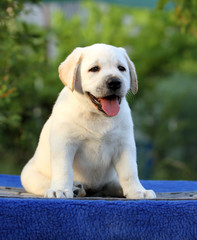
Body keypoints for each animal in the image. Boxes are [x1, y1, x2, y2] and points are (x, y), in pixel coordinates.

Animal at [20, 43, 156, 199]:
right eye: (94, 69)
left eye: (121, 68)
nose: (115, 82)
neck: (97, 116)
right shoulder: (64, 143)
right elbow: (64, 170)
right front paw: (60, 190)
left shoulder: (124, 145)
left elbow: (130, 172)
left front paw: (138, 191)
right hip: (28, 174)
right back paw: (75, 188)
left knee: (112, 184)